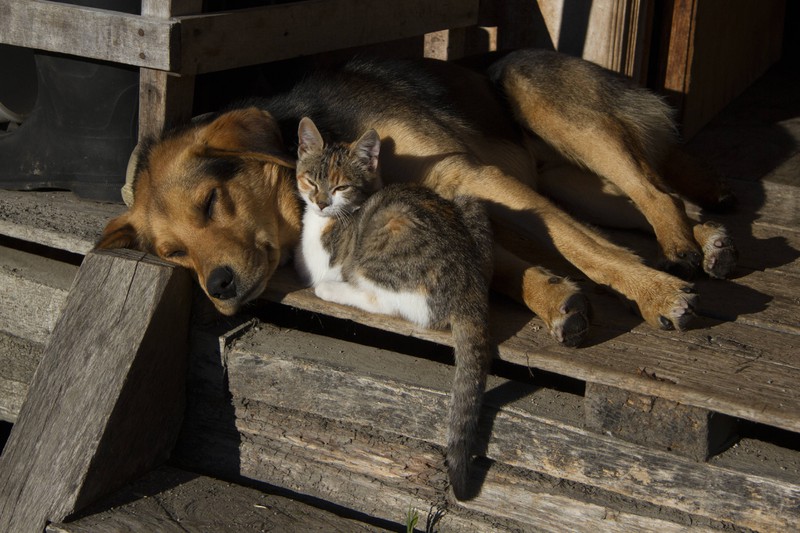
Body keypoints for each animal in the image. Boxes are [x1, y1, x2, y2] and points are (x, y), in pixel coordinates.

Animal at [95, 52, 736, 348]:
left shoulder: (465, 175)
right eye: (173, 254)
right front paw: (558, 299)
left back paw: (679, 253)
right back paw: (707, 241)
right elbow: (511, 268)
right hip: (569, 182)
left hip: (538, 98)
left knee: (650, 190)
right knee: (661, 198)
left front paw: (654, 292)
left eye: (210, 202)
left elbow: (584, 248)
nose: (220, 287)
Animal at [294, 116, 494, 498]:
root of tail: (472, 288)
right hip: (470, 203)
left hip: (384, 245)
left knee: (383, 300)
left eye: (340, 187)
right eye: (311, 180)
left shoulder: (328, 260)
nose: (321, 203)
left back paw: (334, 290)